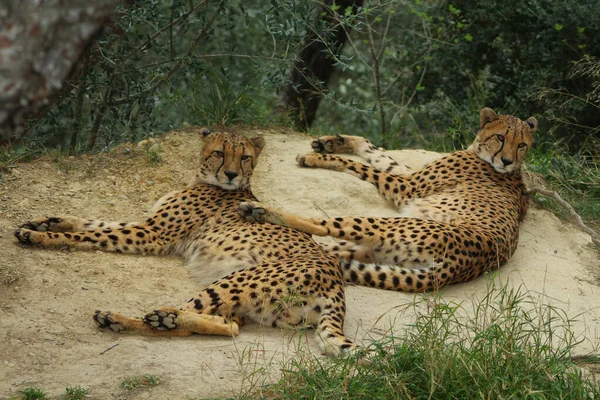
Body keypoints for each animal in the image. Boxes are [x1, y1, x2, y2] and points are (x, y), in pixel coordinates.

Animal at [14, 130, 356, 354]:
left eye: (245, 157)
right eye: (220, 153)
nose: (231, 174)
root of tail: (336, 280)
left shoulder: (150, 234)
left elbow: (91, 233)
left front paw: (40, 236)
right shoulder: (147, 226)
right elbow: (94, 222)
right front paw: (46, 221)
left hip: (237, 280)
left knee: (207, 321)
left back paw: (139, 318)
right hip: (251, 305)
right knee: (227, 325)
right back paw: (155, 319)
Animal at [239, 108, 540, 292]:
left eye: (522, 144)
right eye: (501, 137)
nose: (506, 160)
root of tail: (454, 270)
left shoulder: (407, 186)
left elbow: (364, 166)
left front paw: (317, 157)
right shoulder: (407, 176)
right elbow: (377, 152)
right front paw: (335, 141)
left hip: (380, 224)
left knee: (318, 224)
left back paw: (259, 210)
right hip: (376, 251)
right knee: (323, 251)